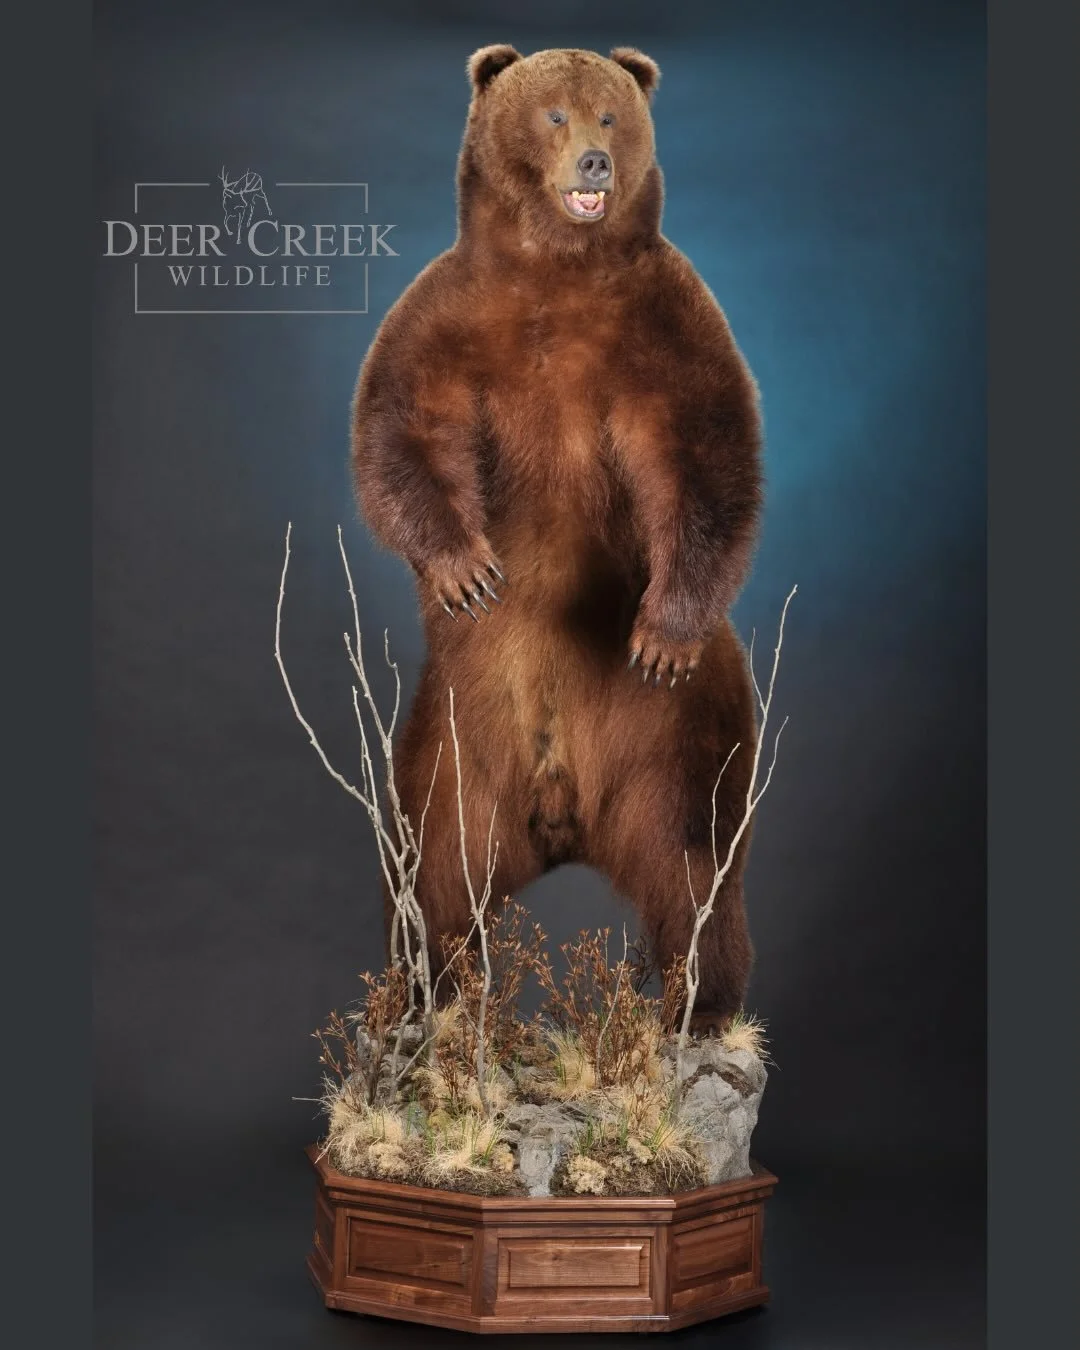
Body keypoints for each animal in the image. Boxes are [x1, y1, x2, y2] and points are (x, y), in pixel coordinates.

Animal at [351, 45, 763, 1029]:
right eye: (552, 115)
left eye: (609, 115)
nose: (596, 164)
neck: (560, 268)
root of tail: (564, 814)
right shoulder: (447, 316)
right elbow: (399, 427)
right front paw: (466, 571)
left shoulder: (667, 322)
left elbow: (708, 454)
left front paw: (660, 632)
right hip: (451, 747)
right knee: (433, 875)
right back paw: (429, 996)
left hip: (682, 741)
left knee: (696, 869)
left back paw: (698, 1008)